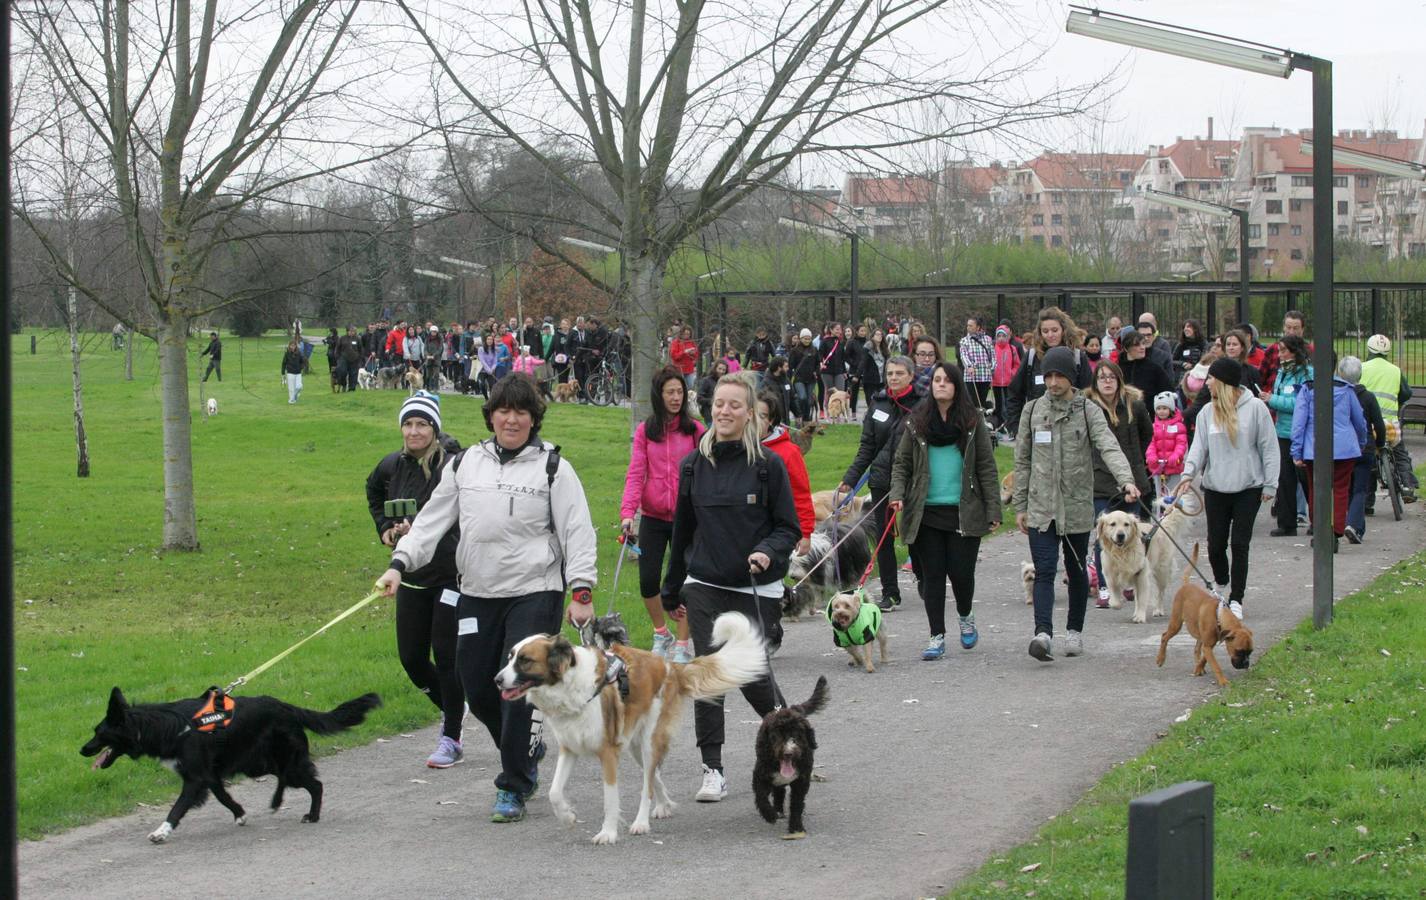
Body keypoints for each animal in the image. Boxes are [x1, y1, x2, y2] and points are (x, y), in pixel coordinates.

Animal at [80, 690, 382, 844]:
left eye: (99, 733)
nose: (82, 750)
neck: (166, 727)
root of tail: (288, 707)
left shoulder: (195, 778)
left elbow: (177, 807)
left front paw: (162, 831)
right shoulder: (210, 775)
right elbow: (224, 796)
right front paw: (240, 814)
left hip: (280, 760)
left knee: (314, 784)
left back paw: (310, 814)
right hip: (260, 762)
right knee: (287, 779)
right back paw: (278, 803)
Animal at [499, 613, 770, 844]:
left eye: (525, 660)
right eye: (510, 657)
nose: (497, 680)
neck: (570, 684)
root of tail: (670, 666)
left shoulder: (608, 753)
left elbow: (610, 799)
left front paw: (608, 833)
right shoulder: (570, 748)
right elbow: (555, 792)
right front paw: (567, 817)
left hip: (649, 741)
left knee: (646, 785)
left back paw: (641, 822)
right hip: (636, 746)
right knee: (653, 776)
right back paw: (663, 805)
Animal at [752, 678, 832, 844]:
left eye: (797, 734)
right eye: (776, 734)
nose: (788, 753)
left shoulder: (802, 781)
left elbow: (797, 804)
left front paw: (796, 827)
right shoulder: (760, 775)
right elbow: (761, 796)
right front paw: (769, 814)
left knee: (780, 791)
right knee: (778, 790)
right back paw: (776, 810)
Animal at [1152, 544, 1254, 687]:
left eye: (1250, 652)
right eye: (1239, 651)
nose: (1246, 664)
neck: (1218, 616)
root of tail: (1186, 584)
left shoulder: (1209, 644)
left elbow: (1205, 658)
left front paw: (1199, 668)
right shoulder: (1208, 645)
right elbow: (1215, 665)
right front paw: (1223, 681)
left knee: (1196, 649)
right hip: (1176, 624)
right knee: (1164, 636)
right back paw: (1161, 658)